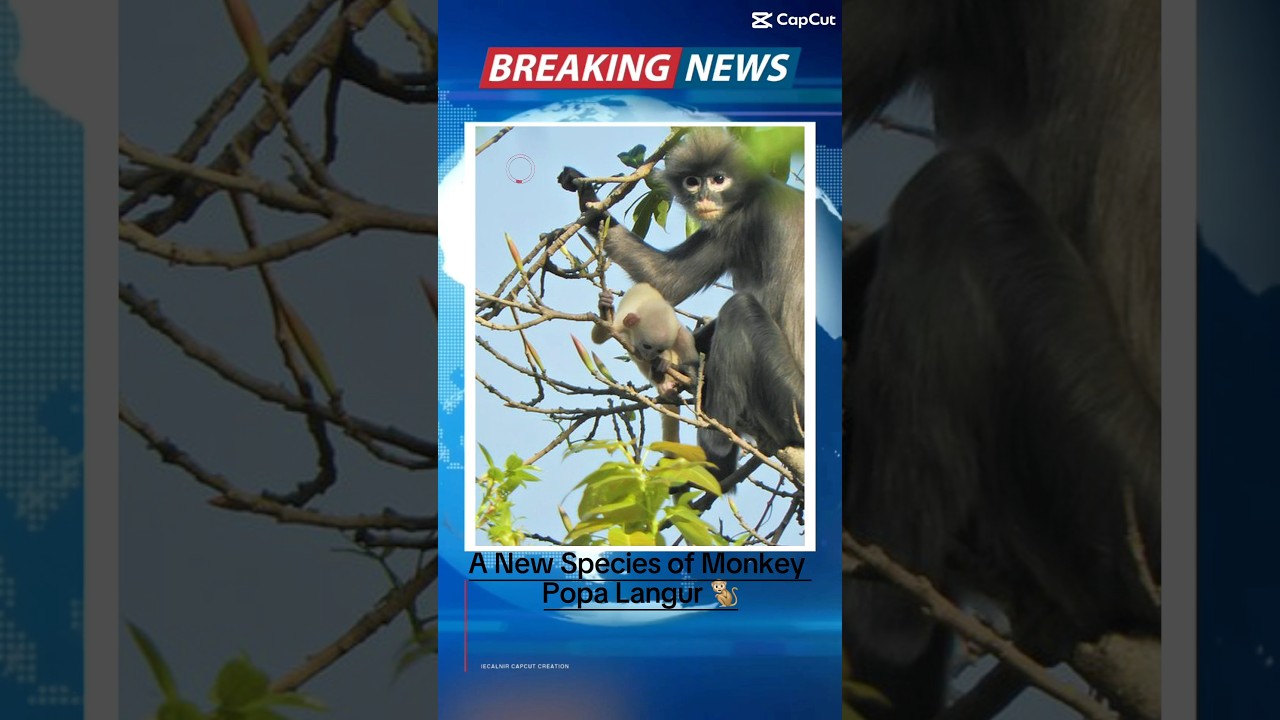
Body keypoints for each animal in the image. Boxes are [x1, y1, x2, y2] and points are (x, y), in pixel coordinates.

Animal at [590, 282, 699, 445]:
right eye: (647, 346)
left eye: (659, 349)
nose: (650, 355)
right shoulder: (622, 322)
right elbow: (599, 336)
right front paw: (604, 306)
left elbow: (683, 336)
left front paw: (684, 369)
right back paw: (661, 381)